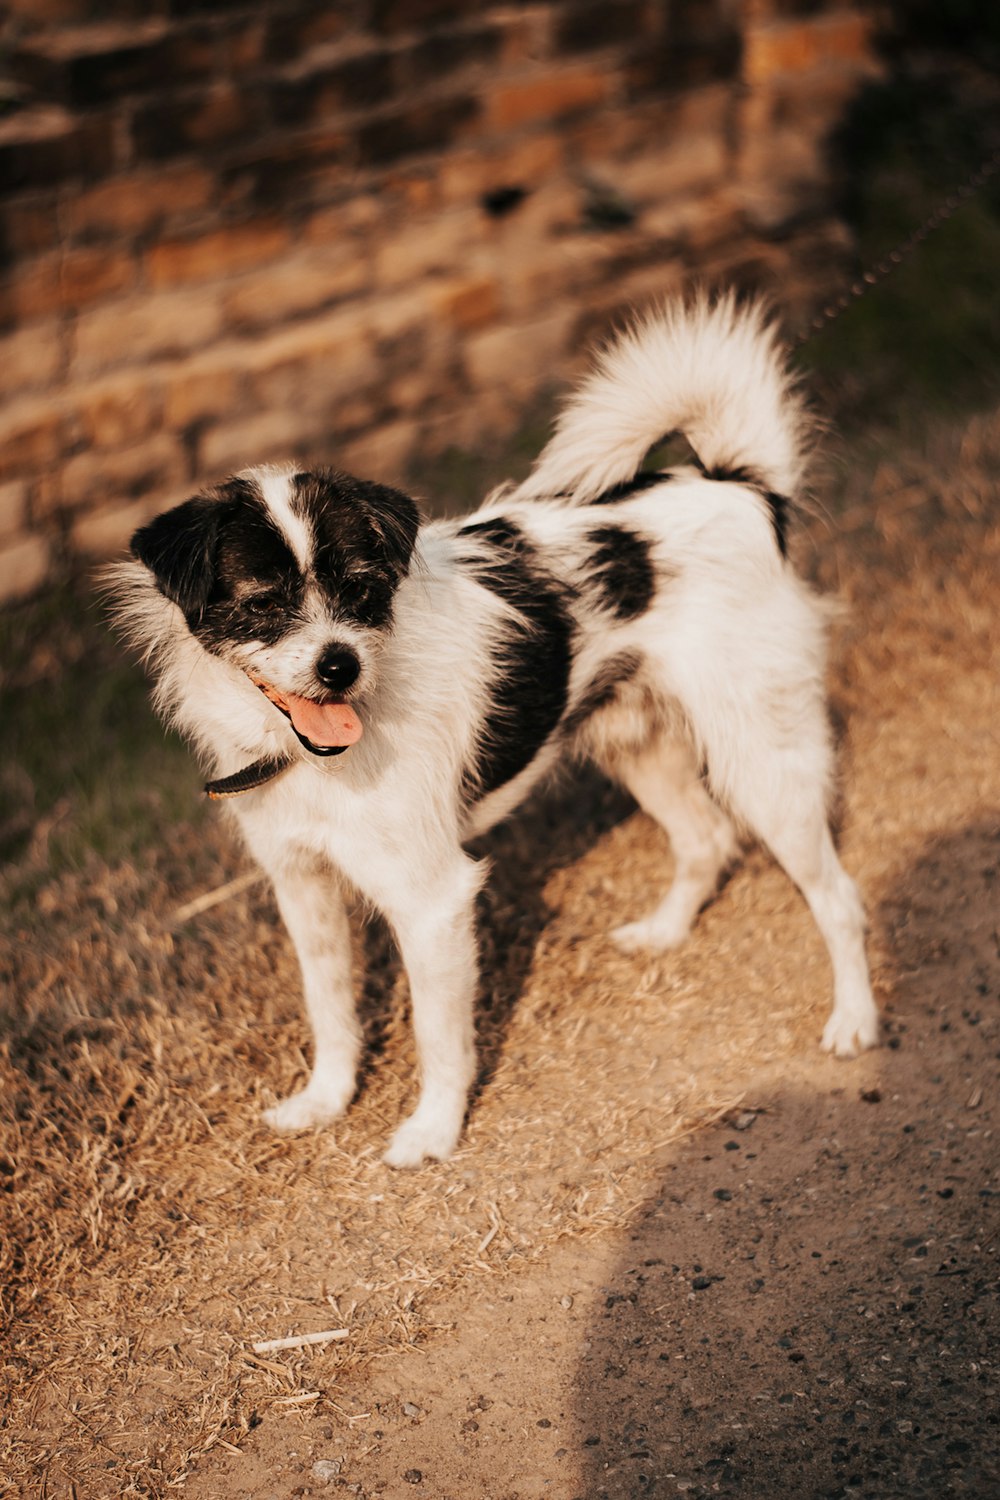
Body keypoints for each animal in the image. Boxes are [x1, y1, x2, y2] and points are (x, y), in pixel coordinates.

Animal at [107, 289, 875, 1158]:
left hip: (763, 760)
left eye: (363, 589)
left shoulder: (432, 900)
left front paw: (433, 1131)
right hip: (636, 743)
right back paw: (664, 933)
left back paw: (854, 1019)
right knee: (707, 837)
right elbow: (330, 1009)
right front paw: (325, 1101)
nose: (340, 666)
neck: (317, 752)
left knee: (836, 896)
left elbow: (440, 1036)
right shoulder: (303, 887)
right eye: (261, 603)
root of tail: (738, 487)